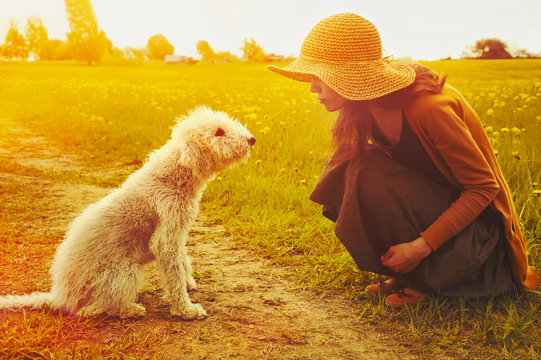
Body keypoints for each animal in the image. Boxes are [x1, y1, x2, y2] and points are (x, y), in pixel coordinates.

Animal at [0, 105, 255, 320]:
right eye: (219, 132)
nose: (252, 139)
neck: (170, 179)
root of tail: (59, 296)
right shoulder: (166, 236)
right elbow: (173, 276)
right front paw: (186, 310)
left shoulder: (178, 232)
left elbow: (182, 262)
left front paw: (189, 283)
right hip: (125, 272)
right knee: (90, 310)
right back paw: (131, 309)